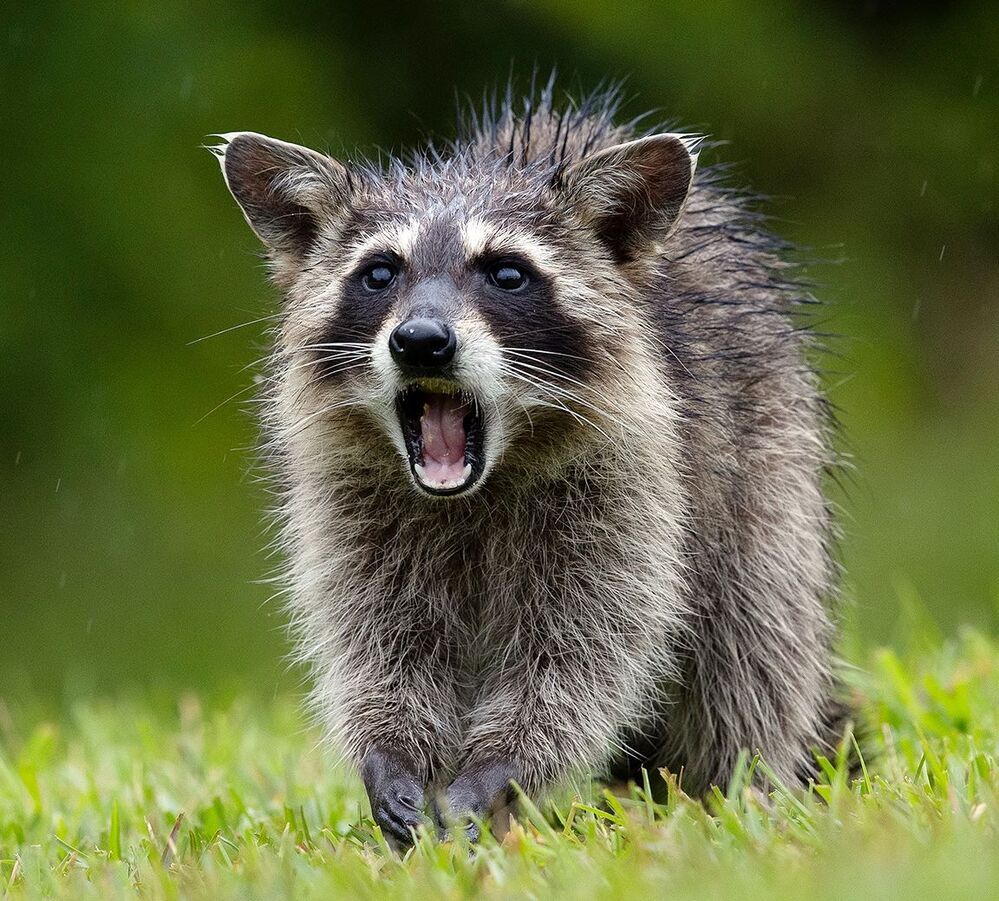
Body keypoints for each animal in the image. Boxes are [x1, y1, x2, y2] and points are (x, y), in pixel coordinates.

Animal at [213, 86, 848, 844]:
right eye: (379, 272)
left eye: (507, 273)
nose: (420, 340)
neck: (478, 485)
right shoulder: (350, 498)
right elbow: (380, 636)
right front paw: (391, 750)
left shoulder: (632, 478)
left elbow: (585, 647)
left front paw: (500, 768)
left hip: (767, 465)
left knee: (753, 645)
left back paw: (733, 789)